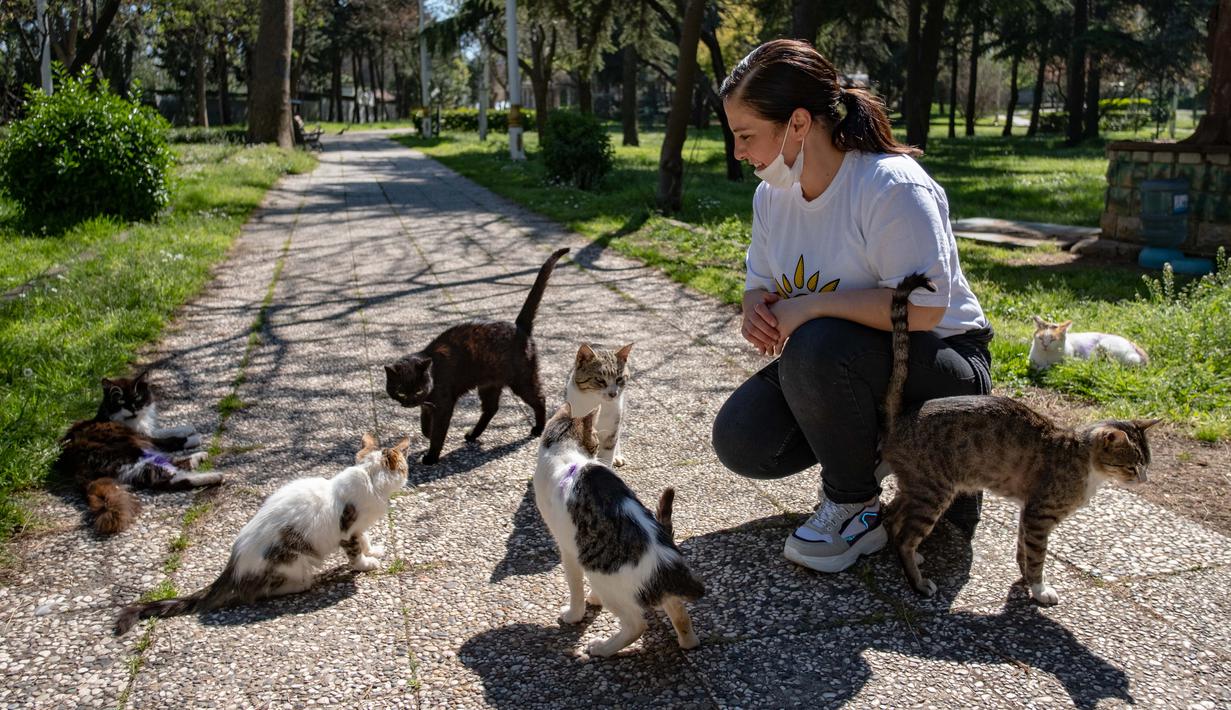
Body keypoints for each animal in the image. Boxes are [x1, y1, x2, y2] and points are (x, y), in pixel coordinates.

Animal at [53, 371, 221, 531]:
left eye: (137, 398)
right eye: (121, 402)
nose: (132, 409)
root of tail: (76, 468)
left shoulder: (145, 433)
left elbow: (162, 430)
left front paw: (187, 428)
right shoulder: (146, 438)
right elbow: (171, 440)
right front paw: (195, 437)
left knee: (172, 466)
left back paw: (199, 458)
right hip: (132, 453)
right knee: (167, 478)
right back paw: (215, 475)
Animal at [112, 435, 408, 634]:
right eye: (405, 467)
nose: (408, 474)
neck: (369, 479)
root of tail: (233, 567)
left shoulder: (359, 527)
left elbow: (365, 539)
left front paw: (373, 550)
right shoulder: (347, 529)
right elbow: (355, 551)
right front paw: (365, 564)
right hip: (292, 559)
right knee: (261, 591)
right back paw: (305, 582)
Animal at [384, 246, 571, 462]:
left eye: (417, 390)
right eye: (400, 391)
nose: (409, 402)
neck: (433, 373)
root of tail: (519, 327)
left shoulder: (444, 404)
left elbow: (439, 431)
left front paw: (431, 456)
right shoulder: (428, 405)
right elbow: (424, 424)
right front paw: (427, 433)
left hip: (522, 380)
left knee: (539, 399)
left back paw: (538, 429)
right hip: (489, 385)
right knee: (491, 408)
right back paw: (473, 434)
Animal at [536, 401, 709, 654]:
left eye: (596, 441)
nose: (597, 450)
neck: (566, 456)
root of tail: (667, 566)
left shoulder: (568, 549)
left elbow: (575, 588)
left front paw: (573, 615)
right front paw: (593, 599)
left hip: (604, 578)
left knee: (636, 625)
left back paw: (601, 648)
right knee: (681, 616)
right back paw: (686, 641)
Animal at [881, 274, 1157, 605]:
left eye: (1147, 465)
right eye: (1132, 466)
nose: (1143, 479)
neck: (1083, 459)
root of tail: (904, 415)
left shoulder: (1027, 511)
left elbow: (1023, 549)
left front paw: (1025, 580)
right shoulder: (1039, 515)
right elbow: (1037, 556)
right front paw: (1039, 589)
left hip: (916, 486)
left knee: (891, 516)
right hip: (934, 491)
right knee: (905, 535)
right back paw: (918, 581)